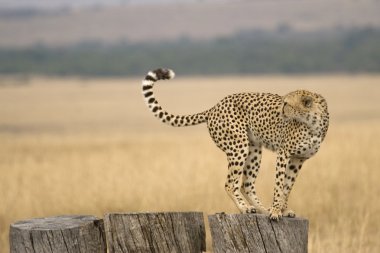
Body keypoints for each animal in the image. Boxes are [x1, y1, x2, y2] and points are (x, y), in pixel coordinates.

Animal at [141, 67, 328, 219]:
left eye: (287, 104)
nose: (281, 112)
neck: (312, 123)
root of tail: (215, 107)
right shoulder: (284, 153)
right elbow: (279, 184)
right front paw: (276, 211)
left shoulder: (299, 159)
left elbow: (287, 186)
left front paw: (283, 210)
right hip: (239, 146)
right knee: (230, 184)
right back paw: (246, 208)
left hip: (254, 149)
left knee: (247, 184)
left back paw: (262, 209)